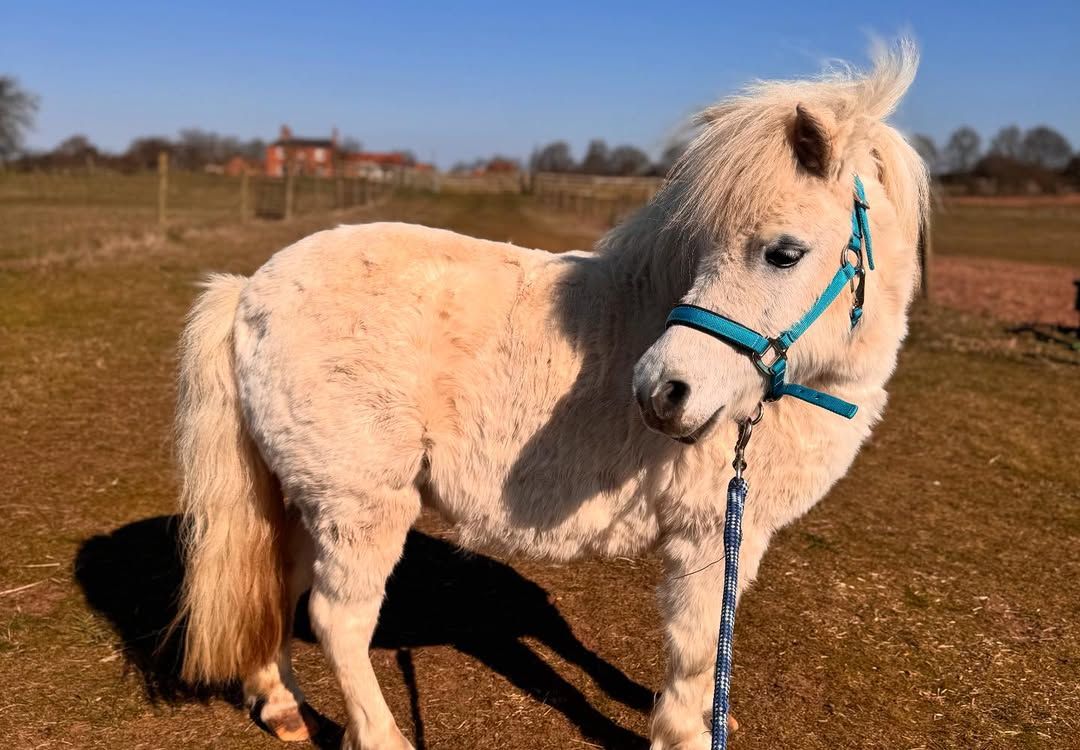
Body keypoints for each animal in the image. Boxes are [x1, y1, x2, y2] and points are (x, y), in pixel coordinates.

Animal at [172, 40, 928, 750]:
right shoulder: (709, 533)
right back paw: (380, 736)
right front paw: (685, 733)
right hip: (361, 504)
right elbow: (694, 646)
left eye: (783, 253)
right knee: (338, 619)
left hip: (309, 496)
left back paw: (281, 704)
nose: (662, 391)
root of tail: (250, 292)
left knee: (280, 583)